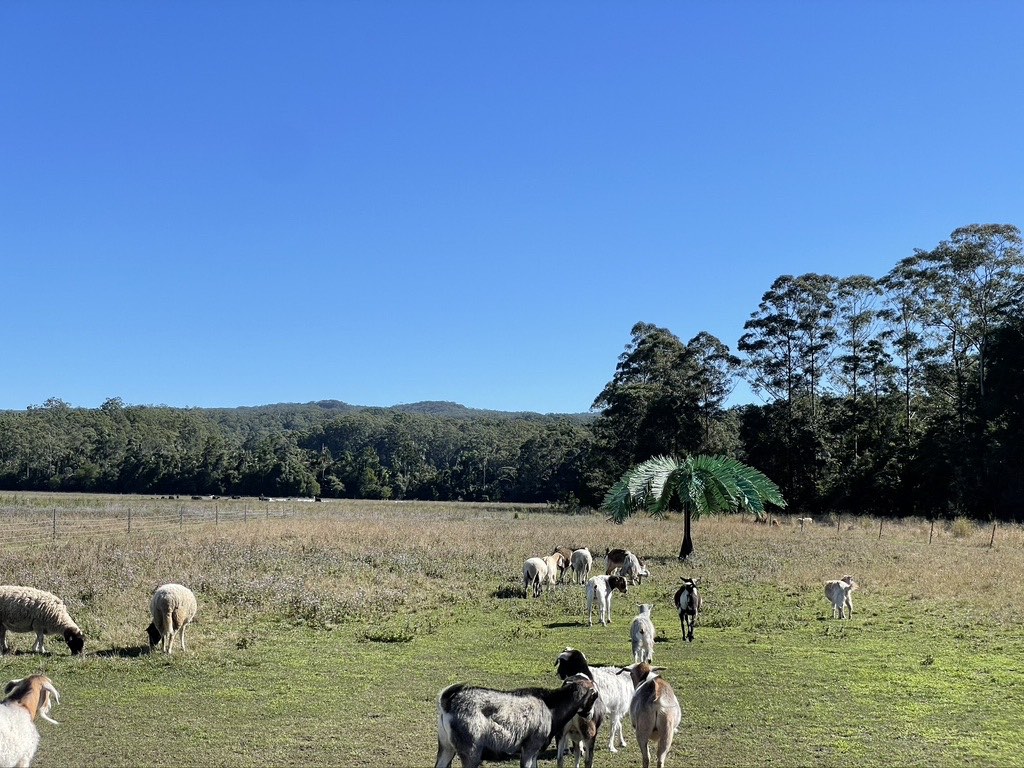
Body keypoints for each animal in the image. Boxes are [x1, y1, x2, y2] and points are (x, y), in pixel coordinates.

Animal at [434, 675, 598, 765]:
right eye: (594, 695)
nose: (589, 715)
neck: (550, 705)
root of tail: (448, 702)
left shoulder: (535, 752)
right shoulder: (529, 749)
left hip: (446, 748)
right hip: (471, 751)